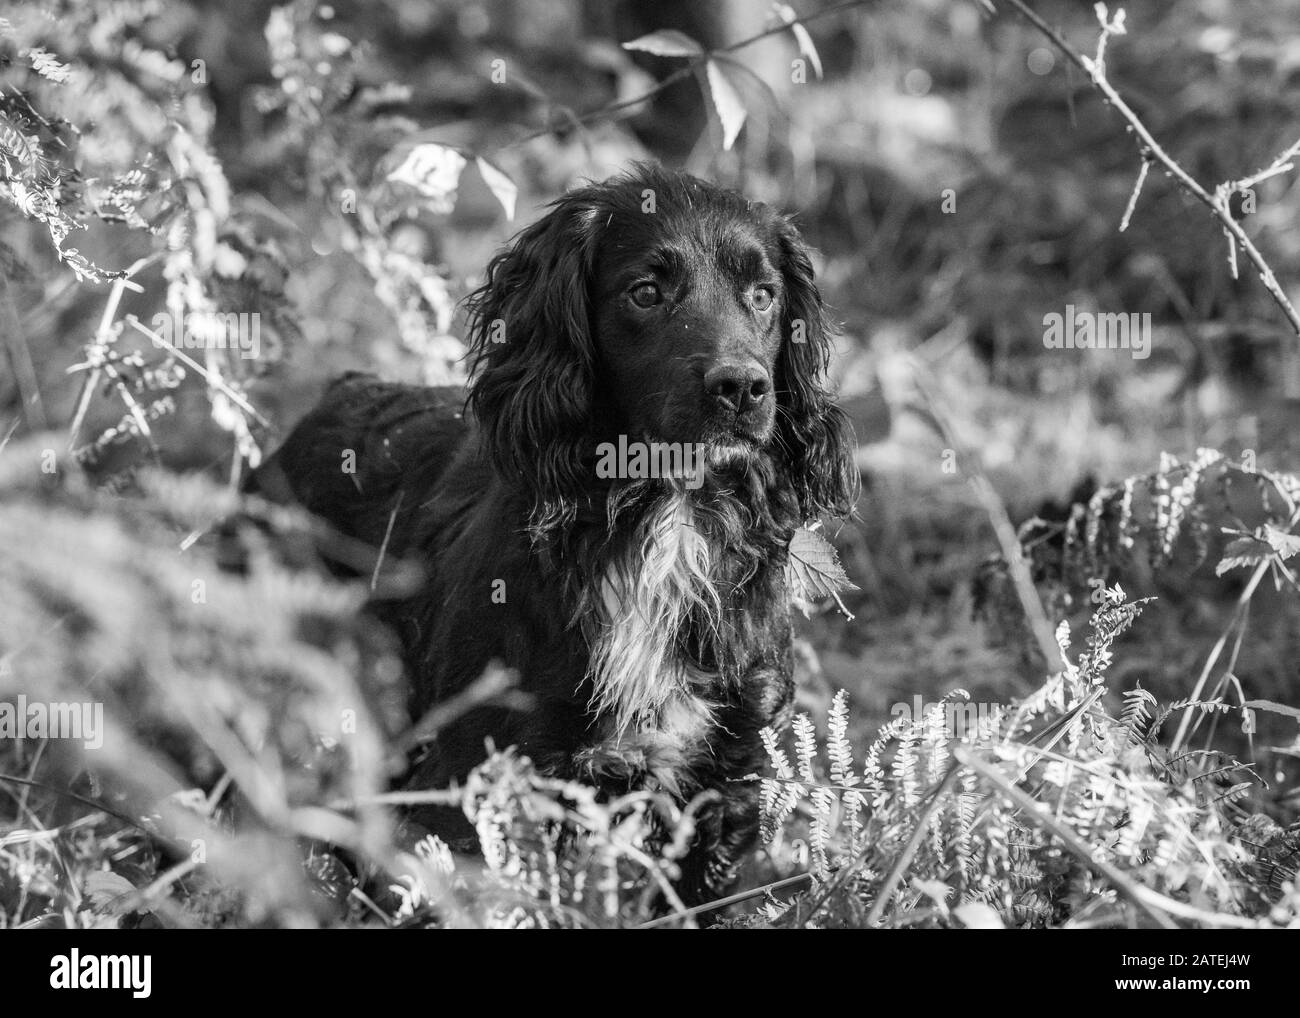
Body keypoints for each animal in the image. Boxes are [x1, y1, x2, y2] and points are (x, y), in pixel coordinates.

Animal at [253, 163, 863, 904]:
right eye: (645, 292)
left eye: (764, 296)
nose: (743, 387)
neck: (667, 525)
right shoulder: (473, 778)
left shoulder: (727, 779)